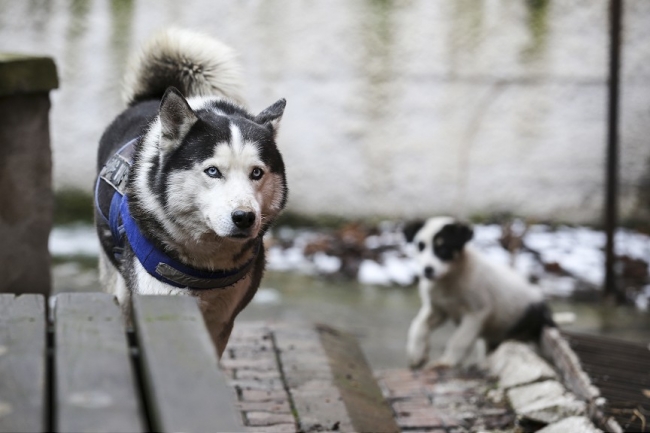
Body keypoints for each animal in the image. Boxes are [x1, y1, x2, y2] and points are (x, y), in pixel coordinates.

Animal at [93, 28, 286, 356]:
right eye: (213, 171)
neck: (205, 263)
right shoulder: (160, 300)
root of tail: (147, 99)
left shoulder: (221, 319)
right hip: (119, 287)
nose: (244, 217)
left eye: (257, 173)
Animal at [400, 216, 552, 368]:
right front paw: (417, 354)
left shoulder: (476, 312)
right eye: (420, 247)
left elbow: (460, 339)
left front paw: (448, 361)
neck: (449, 279)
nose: (427, 270)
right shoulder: (437, 309)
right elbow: (418, 325)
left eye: (443, 248)